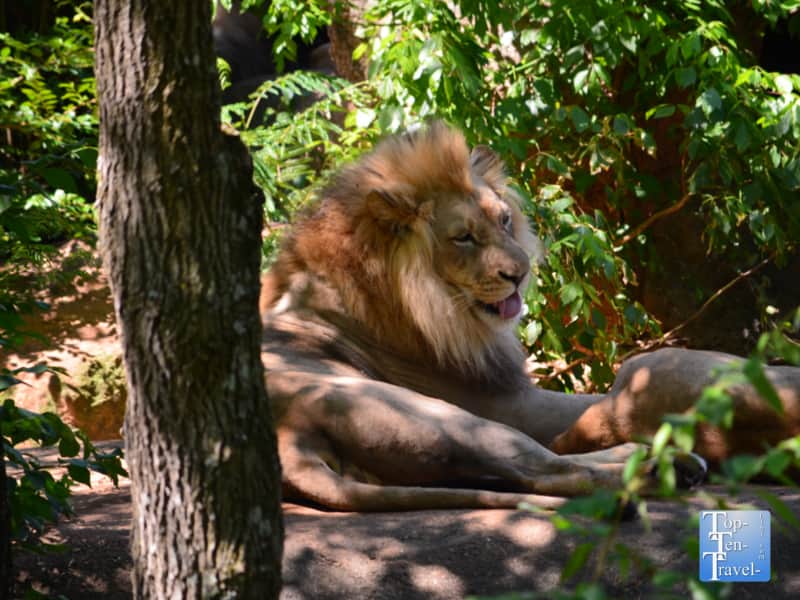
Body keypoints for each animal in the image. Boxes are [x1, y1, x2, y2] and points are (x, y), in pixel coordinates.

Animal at [260, 122, 799, 511]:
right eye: (463, 237)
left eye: (503, 220)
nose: (519, 274)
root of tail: (287, 438)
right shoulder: (506, 401)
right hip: (441, 417)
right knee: (551, 469)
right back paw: (663, 466)